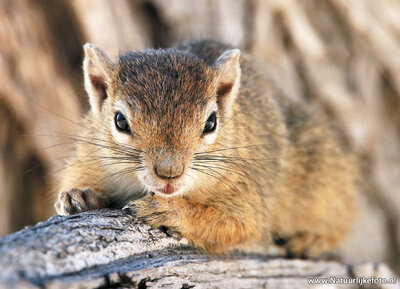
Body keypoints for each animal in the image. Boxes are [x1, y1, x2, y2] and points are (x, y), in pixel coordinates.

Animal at [54, 38, 358, 256]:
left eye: (211, 122)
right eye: (120, 121)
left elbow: (236, 225)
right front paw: (81, 196)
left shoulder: (247, 191)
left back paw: (311, 240)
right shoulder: (88, 159)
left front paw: (169, 210)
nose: (169, 171)